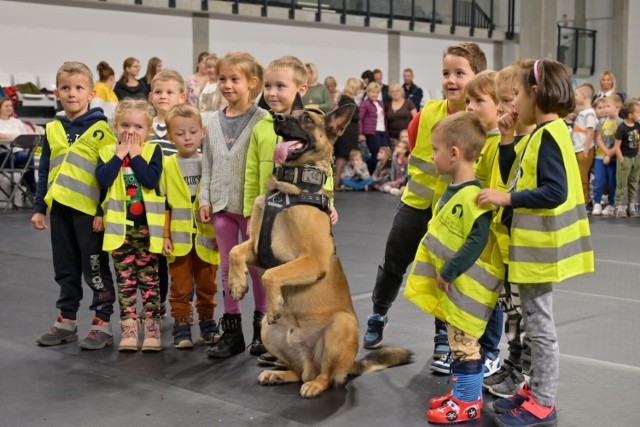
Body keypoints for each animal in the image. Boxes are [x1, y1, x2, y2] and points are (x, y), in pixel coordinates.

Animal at [228, 98, 412, 400]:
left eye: (306, 118)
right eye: (289, 113)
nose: (277, 117)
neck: (291, 185)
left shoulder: (312, 260)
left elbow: (270, 274)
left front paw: (274, 301)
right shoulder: (255, 247)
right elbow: (234, 251)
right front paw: (236, 285)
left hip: (342, 326)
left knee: (327, 376)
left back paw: (315, 384)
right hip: (268, 331)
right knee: (299, 371)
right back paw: (279, 373)